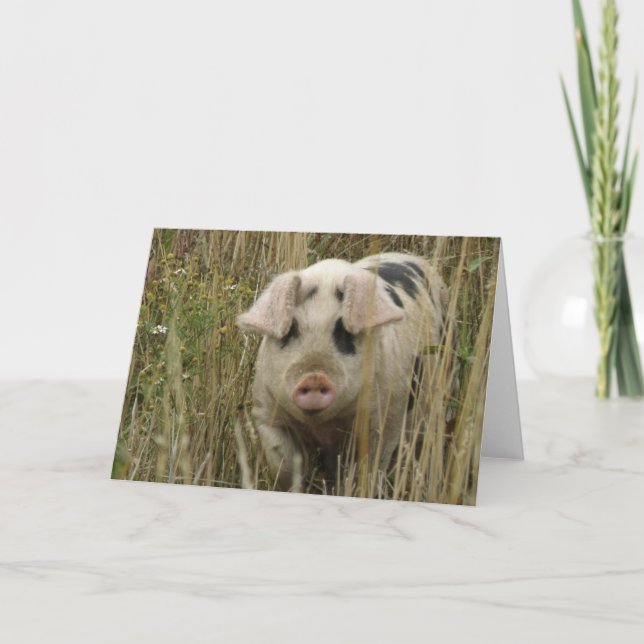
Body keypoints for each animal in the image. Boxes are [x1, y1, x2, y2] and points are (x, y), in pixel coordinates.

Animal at [236, 252, 451, 492]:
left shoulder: (386, 420)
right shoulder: (267, 412)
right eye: (291, 330)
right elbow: (284, 464)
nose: (314, 377)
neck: (325, 427)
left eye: (344, 332)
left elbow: (369, 468)